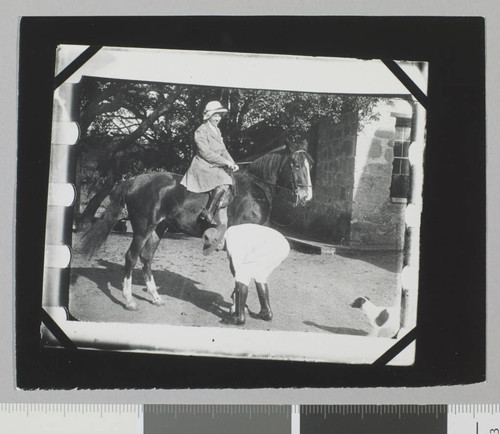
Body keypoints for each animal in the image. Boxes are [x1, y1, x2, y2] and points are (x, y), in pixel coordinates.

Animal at [81, 138, 312, 308]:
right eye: (296, 165)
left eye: (309, 165)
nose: (306, 196)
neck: (255, 189)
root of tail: (133, 180)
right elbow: (239, 270)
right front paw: (235, 307)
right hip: (142, 228)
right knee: (131, 257)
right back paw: (129, 300)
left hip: (158, 229)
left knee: (146, 258)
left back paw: (155, 297)